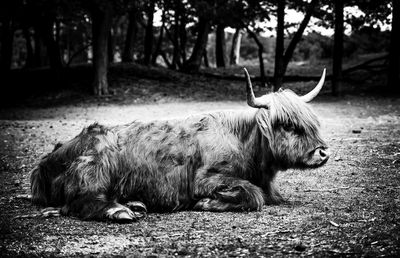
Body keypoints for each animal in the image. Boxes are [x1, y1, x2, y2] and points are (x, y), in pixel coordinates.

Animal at [30, 68, 328, 222]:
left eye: (312, 122)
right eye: (287, 124)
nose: (322, 152)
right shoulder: (205, 179)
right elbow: (254, 195)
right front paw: (207, 203)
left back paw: (134, 203)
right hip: (96, 165)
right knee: (80, 201)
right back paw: (121, 210)